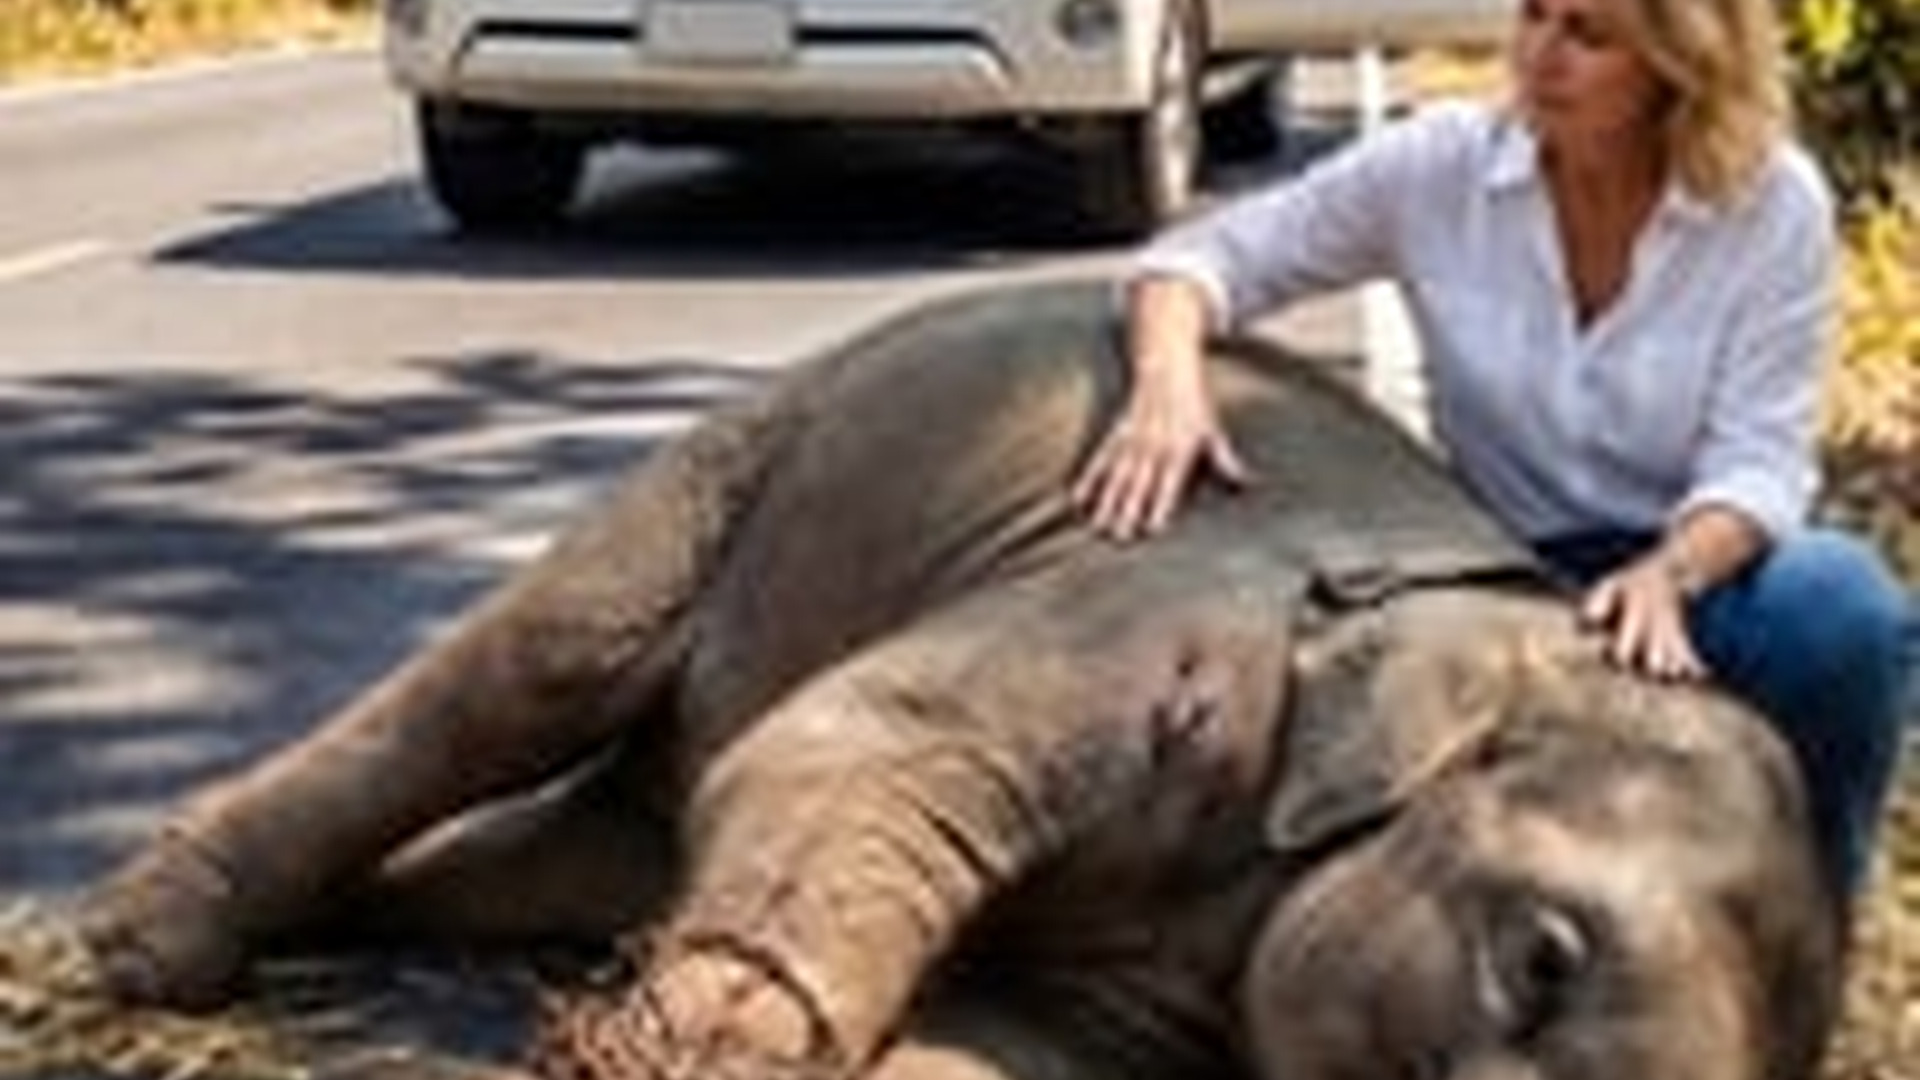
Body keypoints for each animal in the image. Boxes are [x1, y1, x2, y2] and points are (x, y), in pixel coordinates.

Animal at [72, 279, 1843, 1080]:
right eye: (1540, 962)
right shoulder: (1151, 612)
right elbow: (840, 754)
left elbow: (999, 1052)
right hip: (771, 443)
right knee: (535, 671)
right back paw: (138, 952)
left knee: (550, 855)